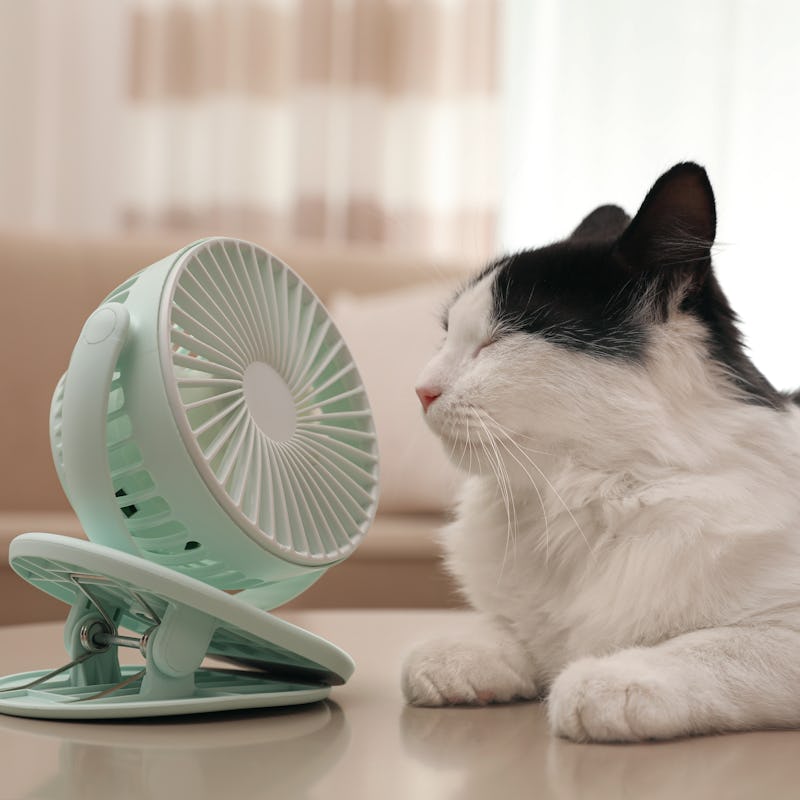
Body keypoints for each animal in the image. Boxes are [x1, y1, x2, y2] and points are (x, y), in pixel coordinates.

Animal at [400, 162, 800, 744]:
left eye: (498, 341)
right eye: (448, 336)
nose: (420, 390)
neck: (587, 499)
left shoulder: (777, 630)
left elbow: (717, 646)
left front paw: (612, 679)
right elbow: (509, 630)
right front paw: (463, 657)